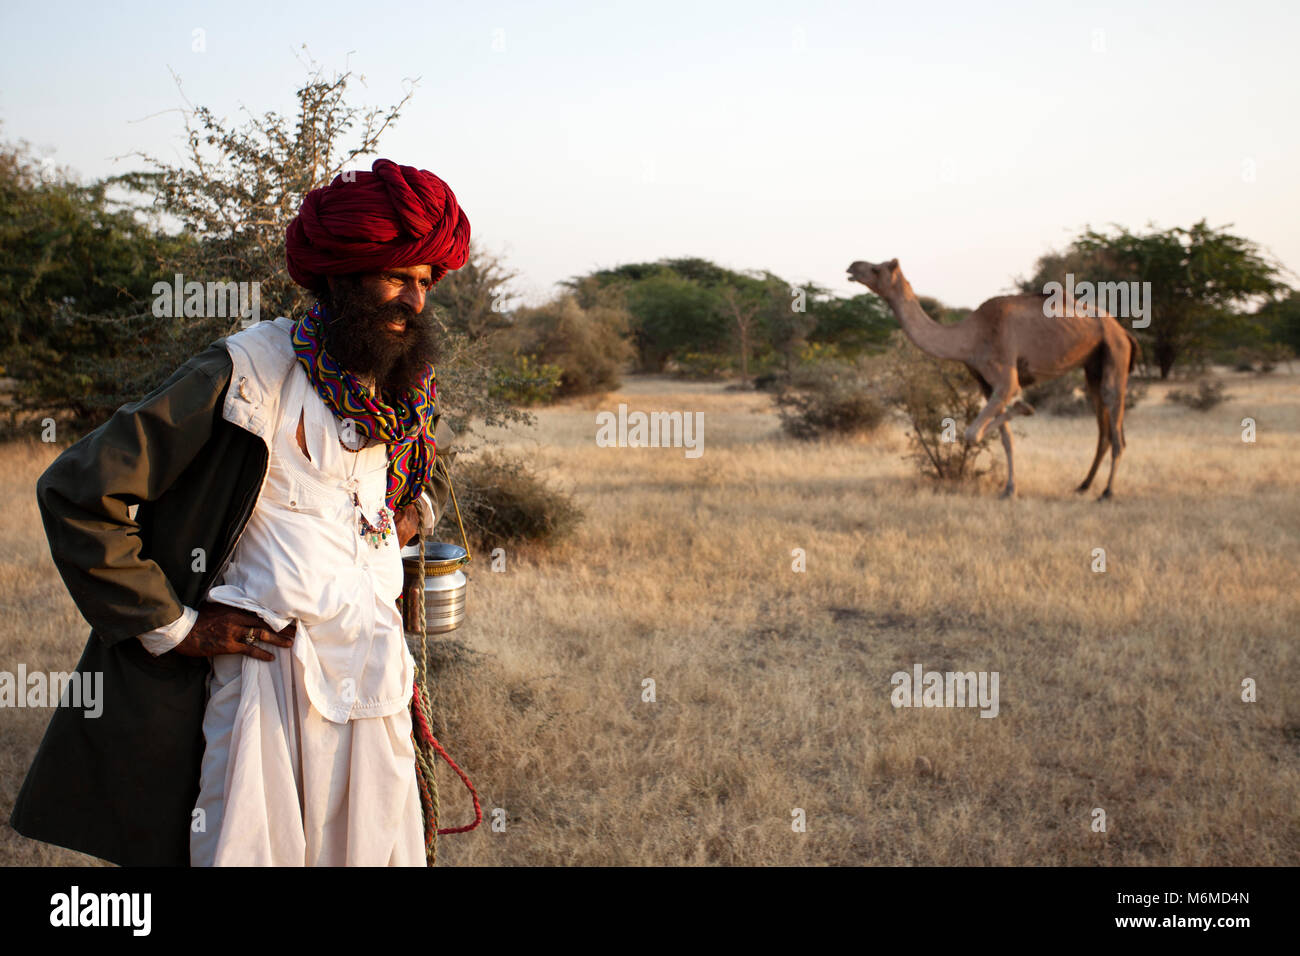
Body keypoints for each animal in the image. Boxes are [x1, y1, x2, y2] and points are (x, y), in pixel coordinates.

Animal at [842, 261, 1138, 502]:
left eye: (876, 269)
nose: (852, 266)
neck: (969, 337)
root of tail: (1124, 332)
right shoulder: (984, 384)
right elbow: (1006, 440)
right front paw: (1009, 489)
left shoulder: (1006, 378)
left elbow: (973, 433)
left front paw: (1024, 407)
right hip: (1093, 367)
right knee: (1103, 428)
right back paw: (1083, 486)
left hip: (1114, 353)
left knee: (1115, 423)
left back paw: (1107, 492)